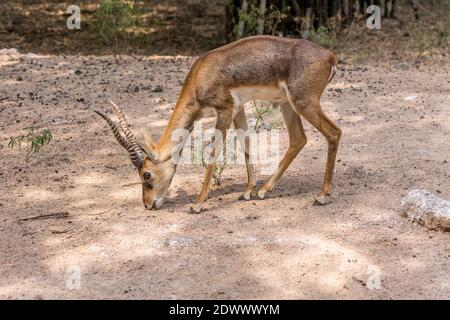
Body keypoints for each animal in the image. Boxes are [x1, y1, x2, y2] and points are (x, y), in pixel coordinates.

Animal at [96, 35, 342, 212]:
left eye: (146, 174)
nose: (148, 205)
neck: (202, 74)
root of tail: (330, 56)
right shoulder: (238, 108)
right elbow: (246, 144)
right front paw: (247, 191)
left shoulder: (224, 110)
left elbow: (213, 154)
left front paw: (197, 204)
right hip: (287, 104)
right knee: (298, 139)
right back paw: (264, 190)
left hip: (303, 103)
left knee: (334, 133)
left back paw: (321, 196)